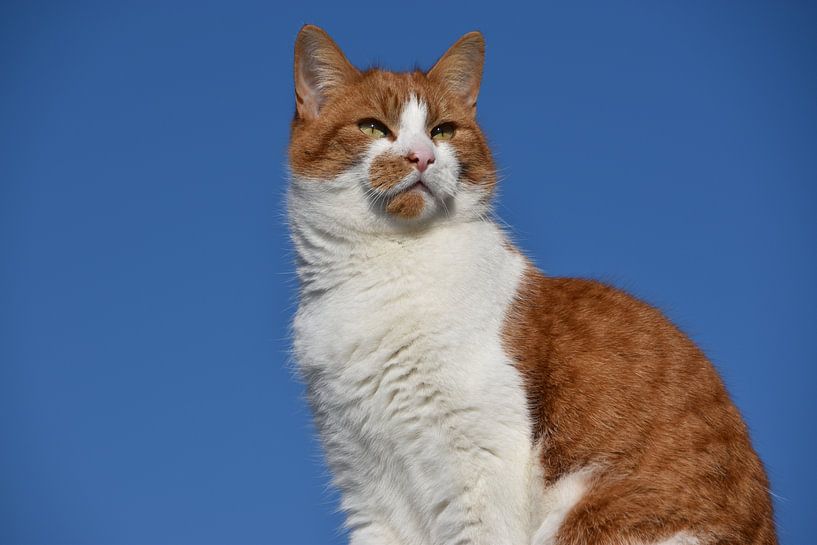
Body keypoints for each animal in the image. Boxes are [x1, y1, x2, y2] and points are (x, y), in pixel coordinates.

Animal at [288, 24, 776, 544]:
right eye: (374, 128)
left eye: (443, 131)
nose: (422, 157)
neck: (381, 270)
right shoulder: (364, 484)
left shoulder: (480, 464)